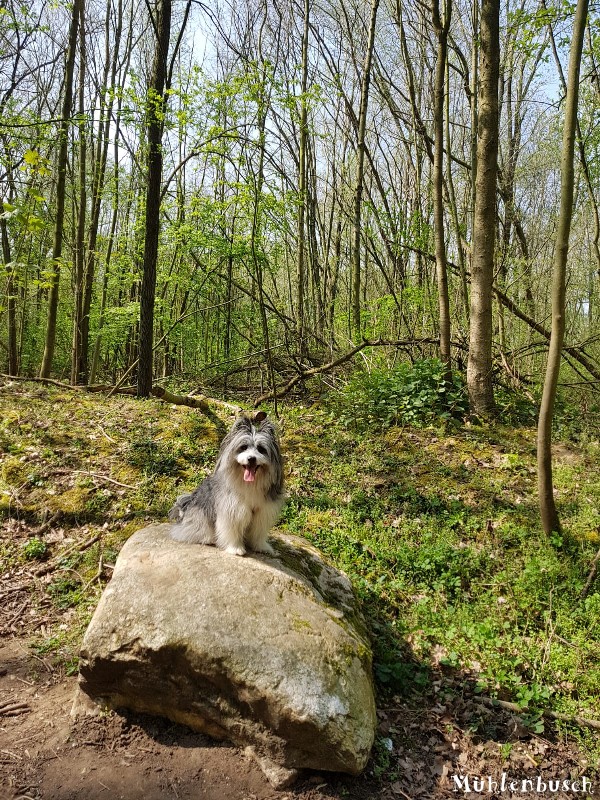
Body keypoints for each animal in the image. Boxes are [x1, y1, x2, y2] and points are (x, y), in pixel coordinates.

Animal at [166, 412, 284, 556]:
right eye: (243, 447)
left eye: (261, 449)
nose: (251, 459)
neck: (251, 484)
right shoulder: (232, 509)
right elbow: (231, 530)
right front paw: (235, 548)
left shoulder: (262, 512)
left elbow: (258, 531)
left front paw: (261, 546)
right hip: (199, 516)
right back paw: (208, 539)